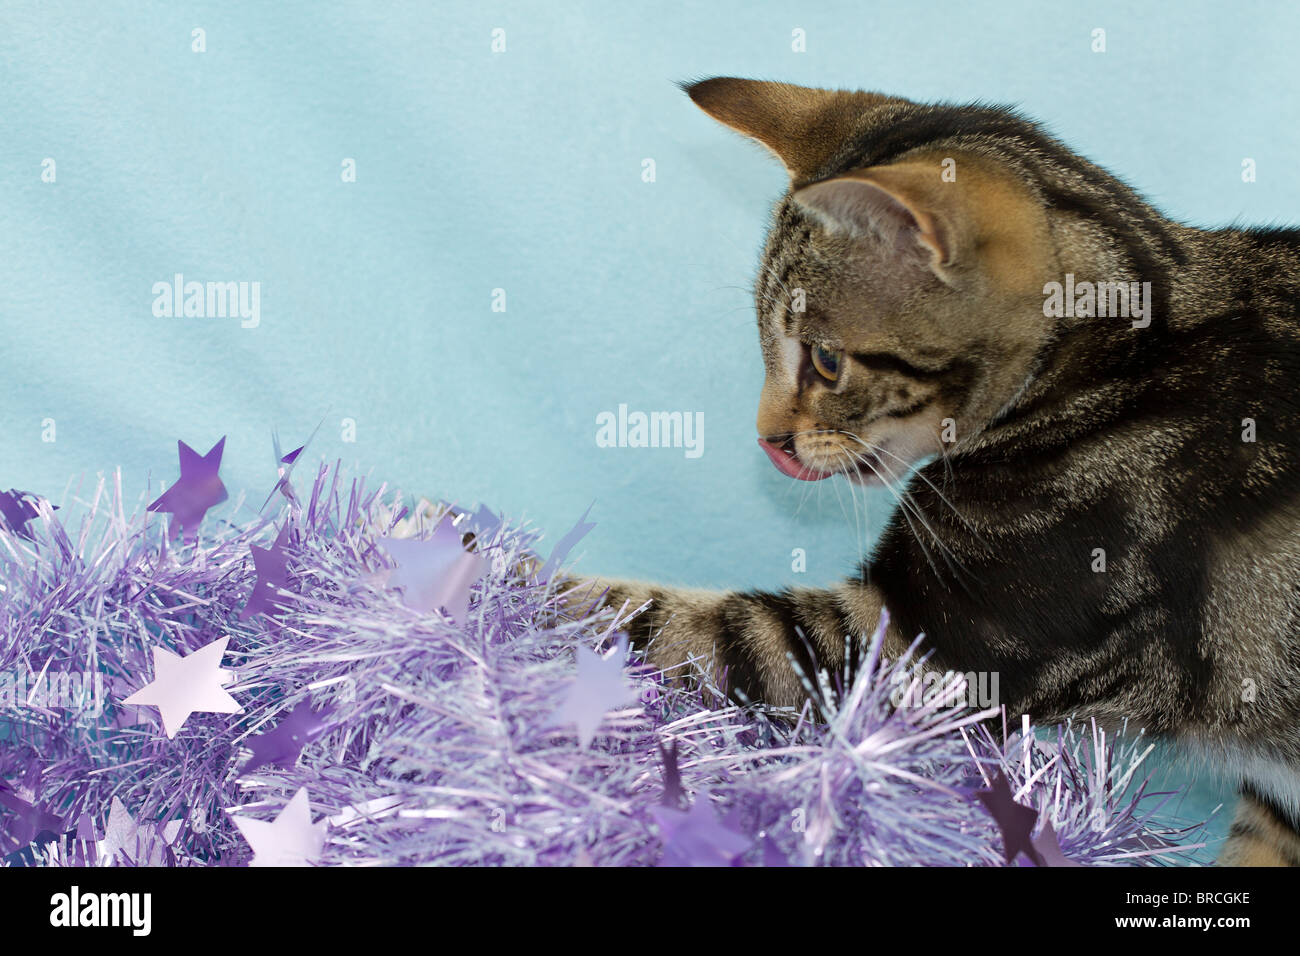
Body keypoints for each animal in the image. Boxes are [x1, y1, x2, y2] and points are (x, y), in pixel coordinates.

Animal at [572, 76, 1300, 868]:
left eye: (825, 360)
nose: (766, 440)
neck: (1118, 361)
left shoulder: (930, 644)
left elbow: (658, 623)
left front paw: (516, 578)